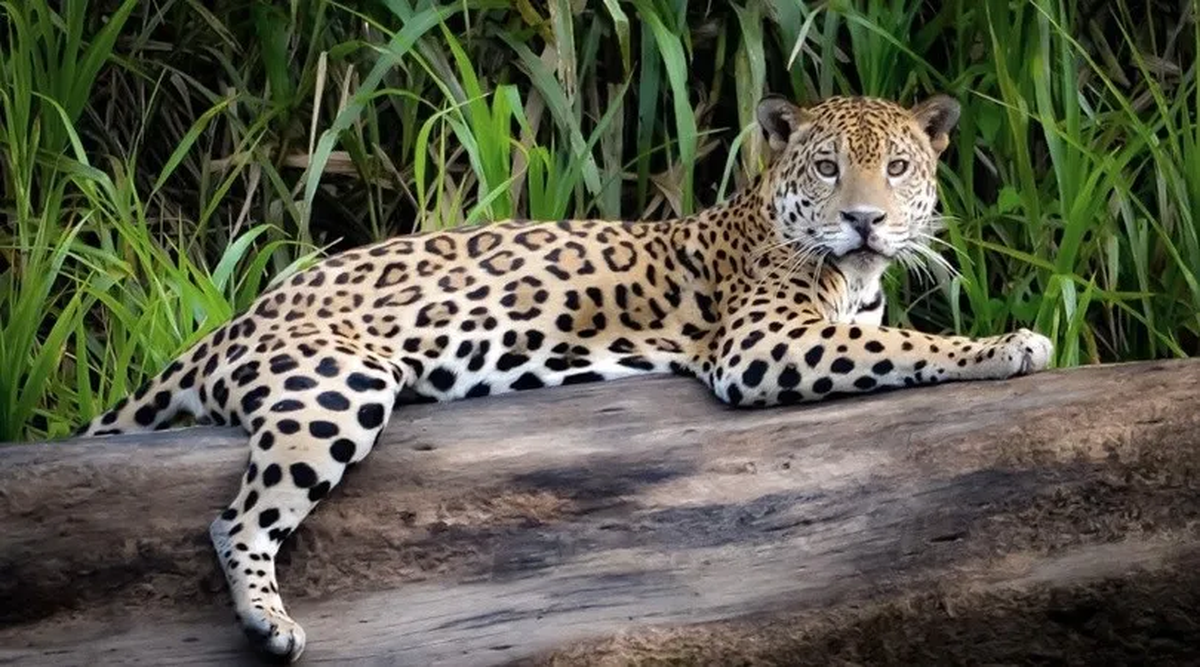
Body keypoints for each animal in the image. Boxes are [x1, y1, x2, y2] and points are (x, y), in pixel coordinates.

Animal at [76, 92, 1053, 662]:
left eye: (898, 167)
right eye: (827, 167)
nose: (864, 220)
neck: (849, 275)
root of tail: (239, 316)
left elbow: (893, 335)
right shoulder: (763, 342)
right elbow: (913, 345)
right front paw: (1009, 344)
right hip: (336, 381)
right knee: (236, 517)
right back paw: (269, 625)